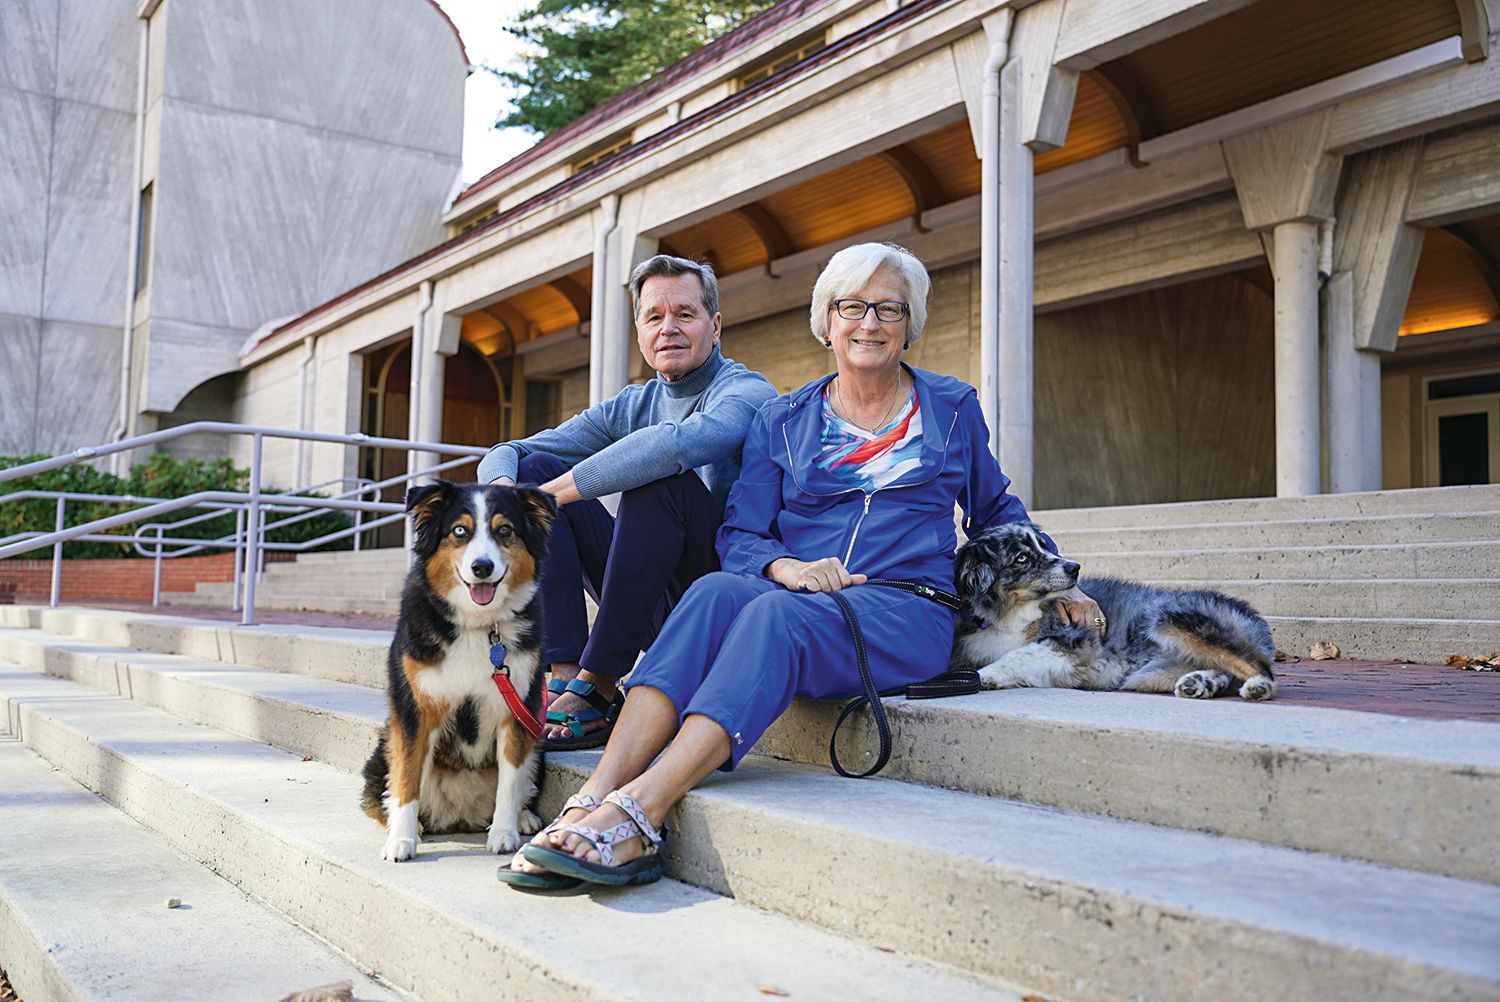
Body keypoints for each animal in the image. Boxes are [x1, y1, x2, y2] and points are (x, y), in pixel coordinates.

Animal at [360, 480, 556, 861]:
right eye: (460, 531)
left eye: (505, 530)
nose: (482, 567)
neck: (478, 626)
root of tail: (460, 814)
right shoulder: (415, 710)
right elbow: (407, 778)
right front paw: (401, 840)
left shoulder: (517, 709)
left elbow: (510, 781)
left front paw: (504, 833)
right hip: (383, 746)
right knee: (386, 793)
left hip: (538, 738)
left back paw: (523, 817)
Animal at [951, 522, 1276, 701]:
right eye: (1021, 557)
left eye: (1045, 546)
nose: (1074, 568)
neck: (1012, 615)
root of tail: (1247, 611)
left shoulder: (1073, 642)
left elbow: (1018, 655)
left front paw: (985, 675)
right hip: (1152, 672)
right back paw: (1199, 683)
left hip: (1171, 617)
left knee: (1257, 664)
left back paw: (1258, 686)